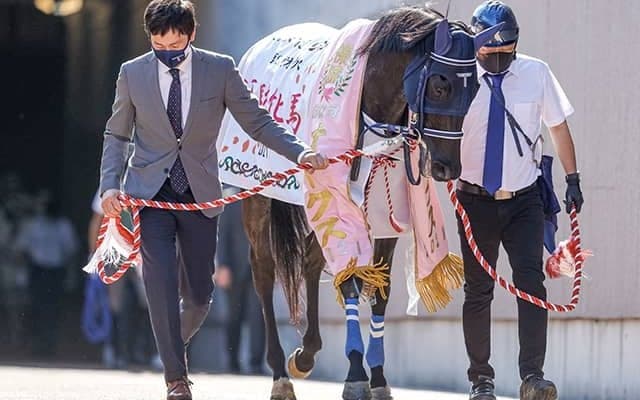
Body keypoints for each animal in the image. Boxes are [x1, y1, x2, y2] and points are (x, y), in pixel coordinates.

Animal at [236, 6, 500, 400]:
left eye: (475, 90)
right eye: (440, 84)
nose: (447, 167)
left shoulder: (385, 212)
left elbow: (380, 290)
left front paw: (377, 377)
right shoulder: (338, 201)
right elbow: (349, 279)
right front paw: (356, 375)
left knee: (311, 261)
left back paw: (307, 353)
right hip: (259, 195)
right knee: (264, 270)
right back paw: (280, 374)